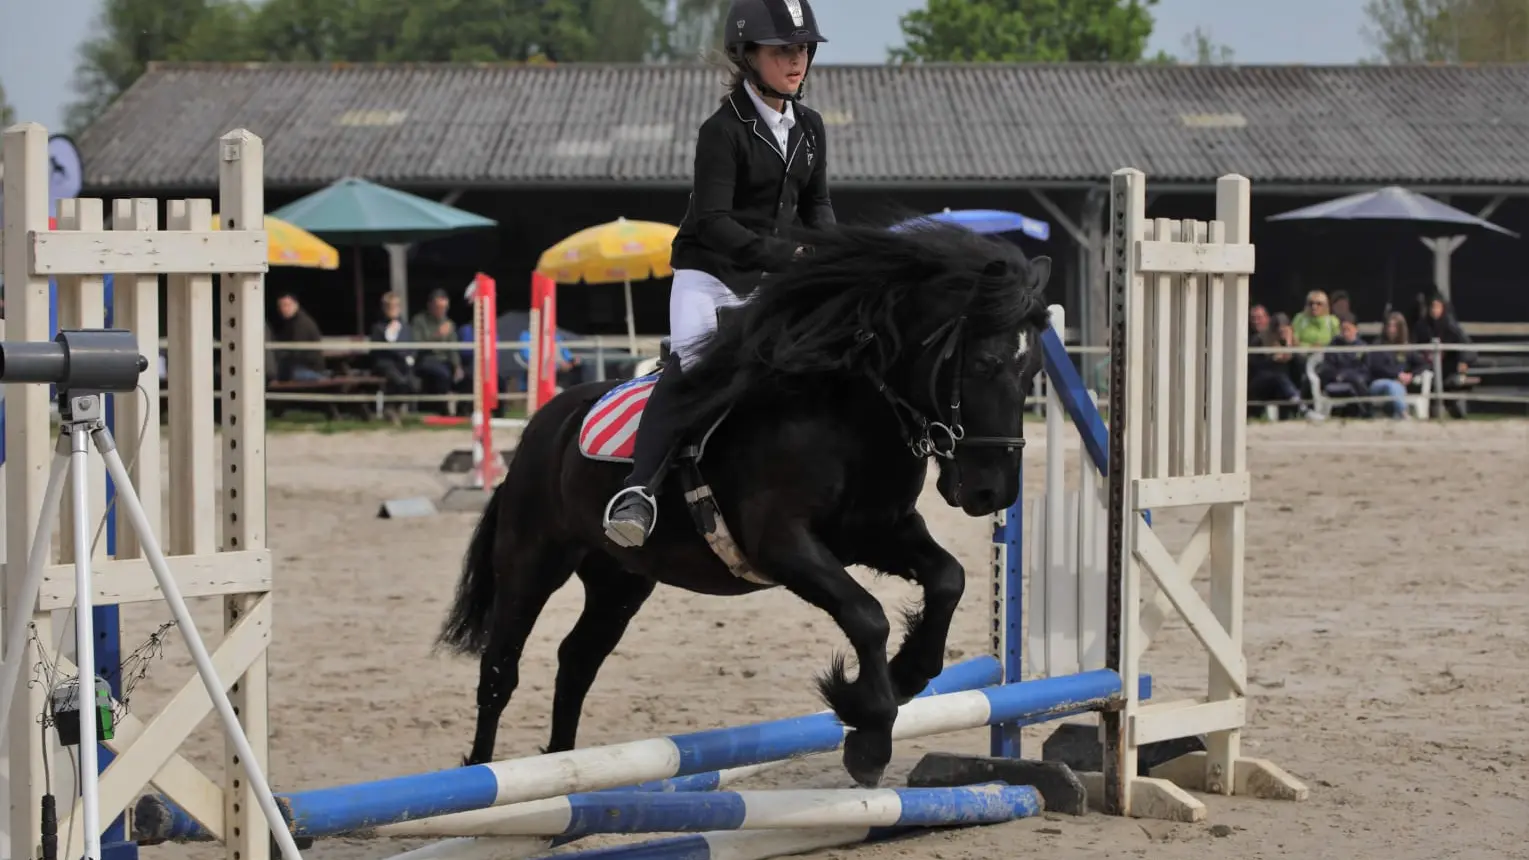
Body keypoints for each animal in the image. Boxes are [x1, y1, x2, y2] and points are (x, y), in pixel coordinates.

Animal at [437, 218, 1045, 783]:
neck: (846, 415)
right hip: (533, 560)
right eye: (985, 364)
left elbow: (948, 579)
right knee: (501, 668)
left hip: (619, 580)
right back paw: (483, 774)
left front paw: (908, 674)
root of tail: (545, 425)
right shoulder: (782, 543)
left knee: (576, 661)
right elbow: (866, 616)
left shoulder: (878, 532)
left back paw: (567, 775)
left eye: (1033, 371)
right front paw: (870, 731)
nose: (993, 493)